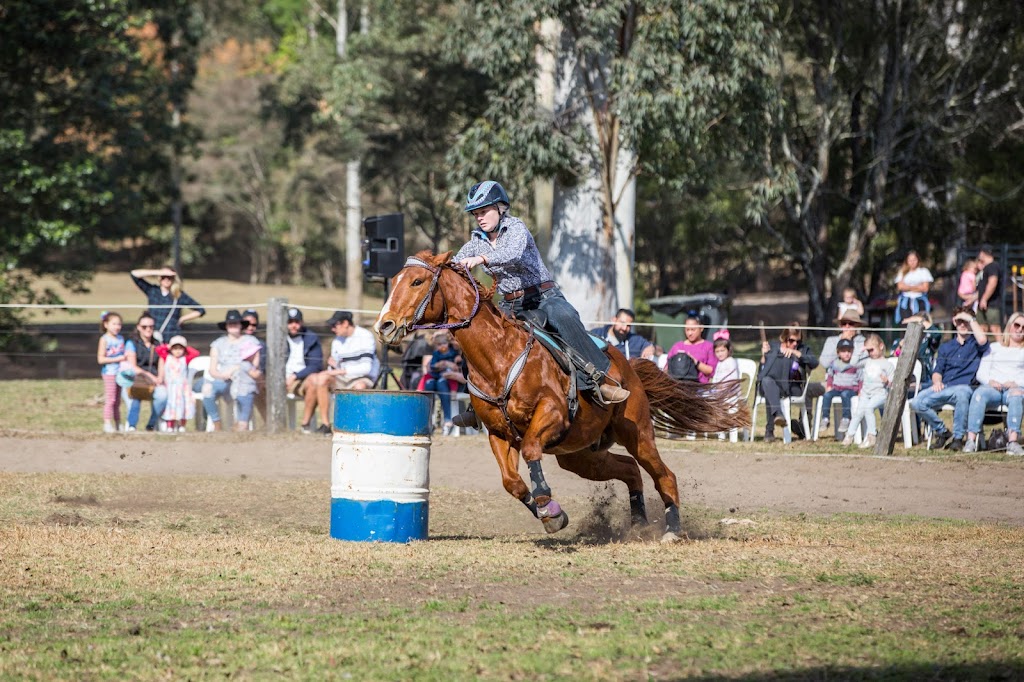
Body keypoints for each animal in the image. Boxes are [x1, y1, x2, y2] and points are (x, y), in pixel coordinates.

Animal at [374, 251, 750, 542]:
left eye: (417, 282)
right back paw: (639, 525)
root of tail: (628, 368)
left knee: (663, 474)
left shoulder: (550, 413)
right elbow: (511, 482)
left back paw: (671, 530)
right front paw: (551, 515)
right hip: (581, 455)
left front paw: (547, 504)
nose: (384, 325)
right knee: (630, 471)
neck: (499, 356)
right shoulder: (497, 432)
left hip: (637, 433)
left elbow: (530, 451)